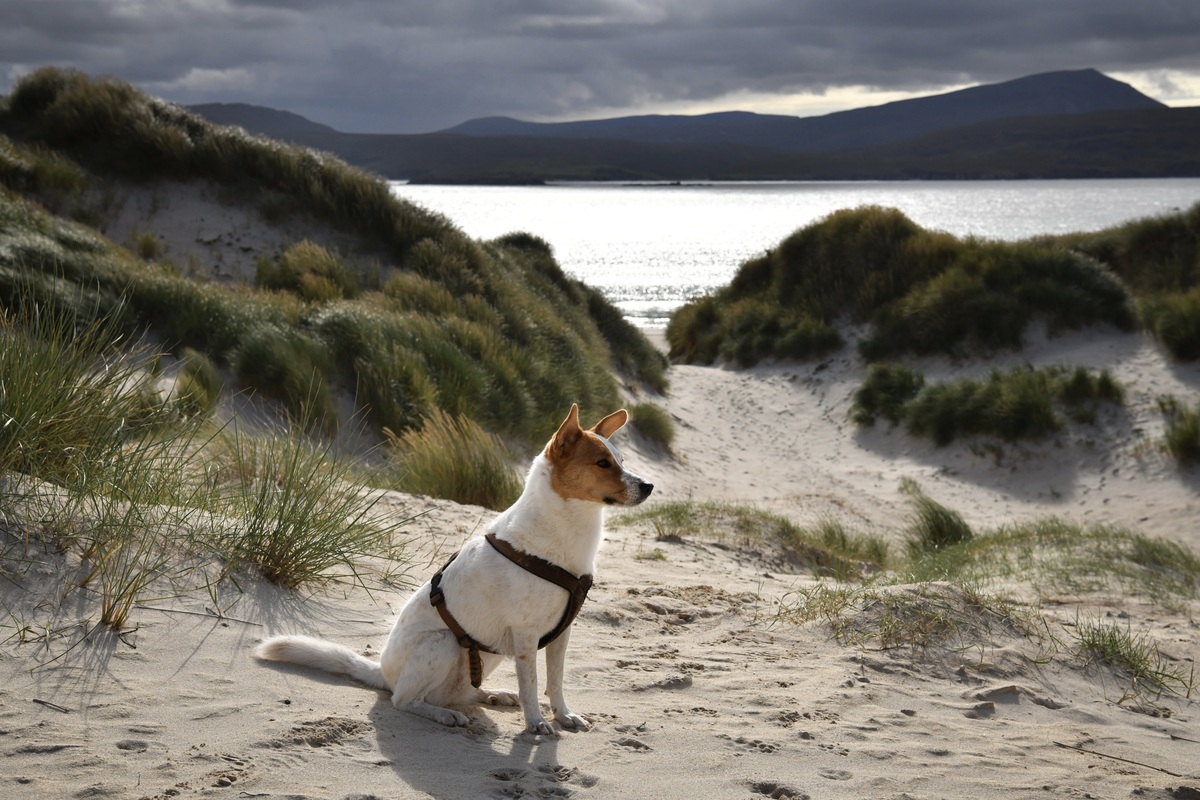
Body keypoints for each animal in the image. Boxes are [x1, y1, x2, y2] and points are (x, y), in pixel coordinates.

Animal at [250, 402, 657, 734]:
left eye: (621, 461)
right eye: (602, 463)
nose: (649, 486)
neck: (564, 534)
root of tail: (382, 671)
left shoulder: (561, 634)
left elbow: (554, 682)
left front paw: (563, 715)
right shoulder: (526, 636)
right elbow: (531, 685)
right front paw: (537, 723)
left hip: (487, 656)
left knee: (460, 692)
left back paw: (491, 695)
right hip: (443, 642)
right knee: (405, 700)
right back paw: (443, 716)